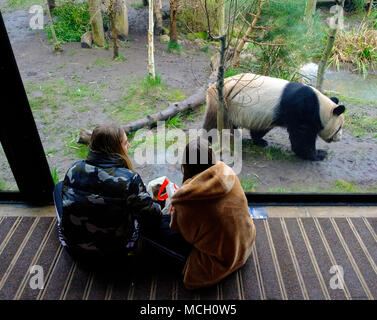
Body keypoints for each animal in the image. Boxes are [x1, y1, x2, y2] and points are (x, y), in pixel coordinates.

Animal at [203, 73, 344, 161]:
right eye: (339, 127)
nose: (339, 138)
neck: (321, 107)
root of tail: (212, 87)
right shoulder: (303, 110)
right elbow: (302, 137)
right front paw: (319, 154)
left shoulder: (271, 115)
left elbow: (261, 128)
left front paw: (260, 141)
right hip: (222, 103)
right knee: (213, 124)